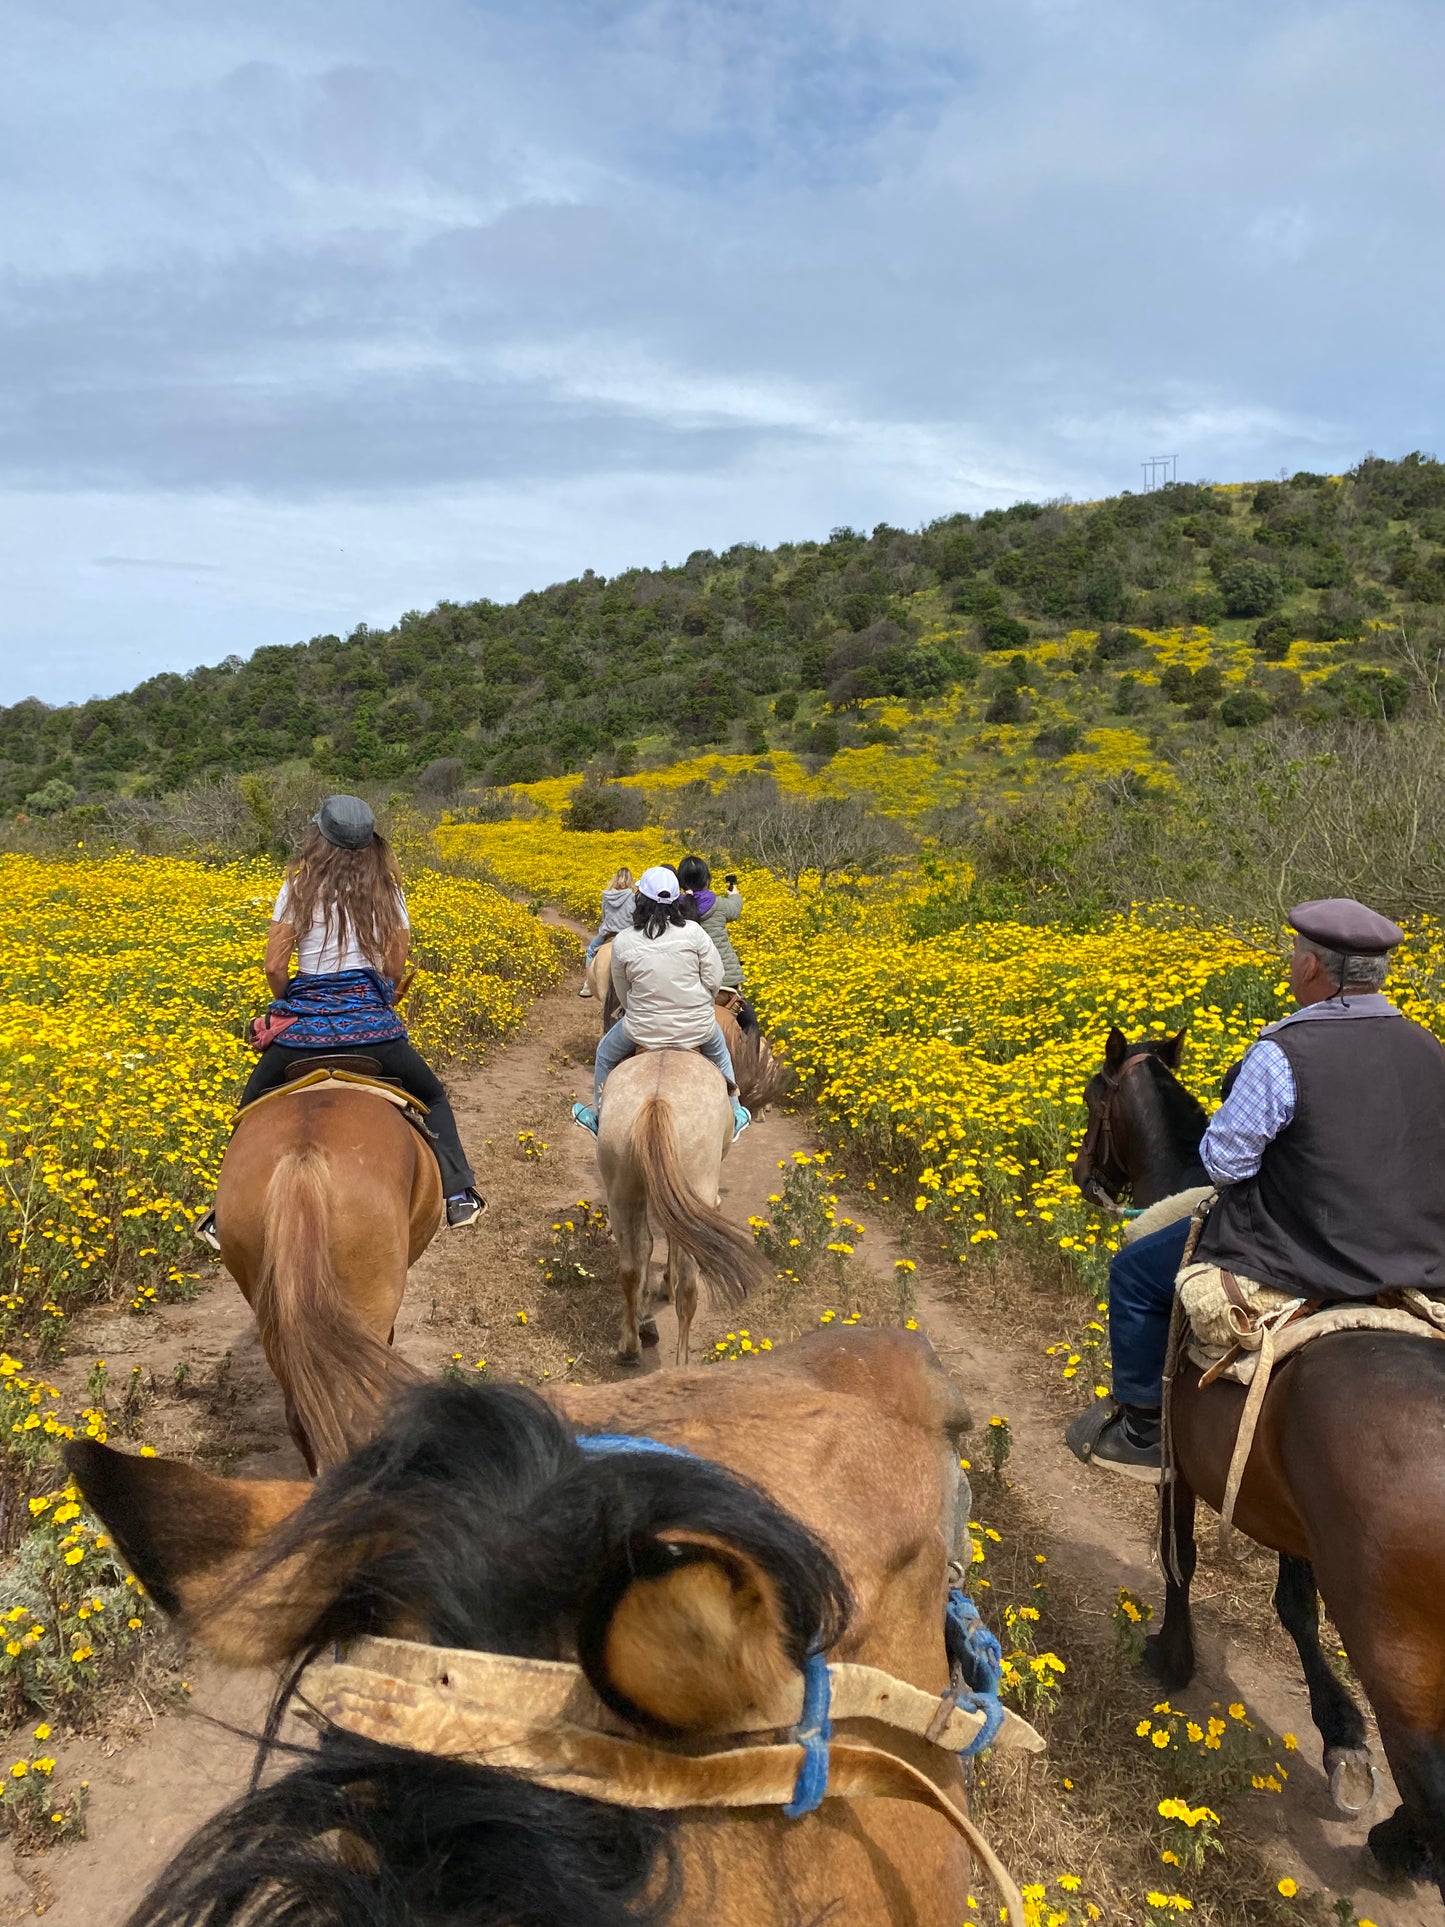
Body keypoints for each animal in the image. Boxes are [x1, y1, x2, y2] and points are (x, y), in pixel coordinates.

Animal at [593, 1048, 770, 1364]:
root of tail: (656, 1101)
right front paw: (667, 1284)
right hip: (695, 1178)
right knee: (689, 1287)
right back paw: (682, 1363)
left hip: (622, 1188)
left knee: (631, 1264)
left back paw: (630, 1345)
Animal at [1071, 1025, 1445, 1896]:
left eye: (1092, 1096)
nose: (1080, 1173)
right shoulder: (1292, 1510)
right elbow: (1294, 1609)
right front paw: (1341, 1742)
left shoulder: (1179, 1468)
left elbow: (1179, 1558)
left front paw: (1170, 1658)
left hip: (1396, 1643)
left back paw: (1397, 1844)